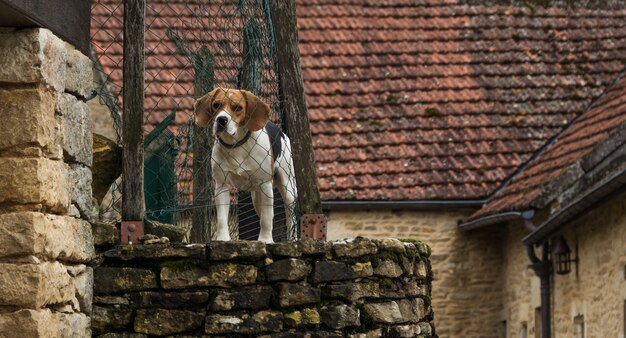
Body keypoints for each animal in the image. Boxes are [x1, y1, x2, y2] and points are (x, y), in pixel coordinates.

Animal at [193, 87, 298, 243]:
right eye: (216, 105)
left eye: (238, 107)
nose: (221, 120)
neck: (236, 146)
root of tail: (282, 134)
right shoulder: (221, 186)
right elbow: (221, 219)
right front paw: (222, 239)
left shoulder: (265, 185)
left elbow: (267, 219)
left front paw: (265, 240)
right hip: (256, 198)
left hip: (288, 188)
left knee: (290, 217)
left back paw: (292, 240)